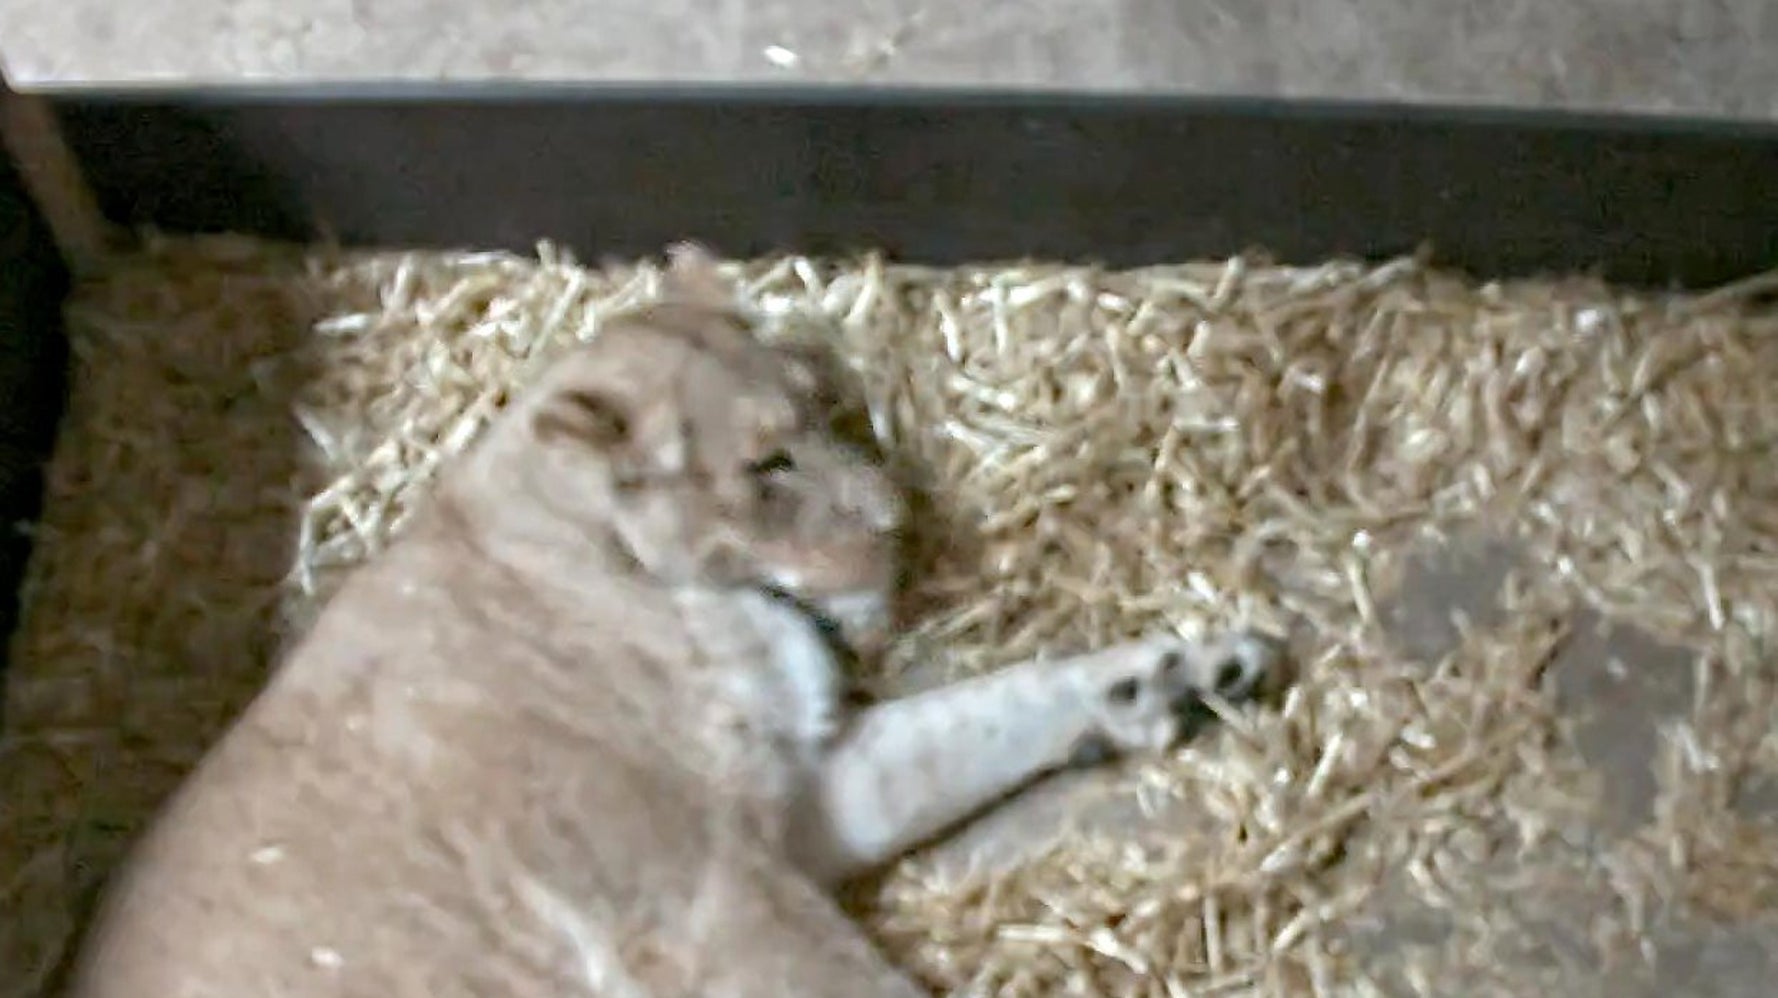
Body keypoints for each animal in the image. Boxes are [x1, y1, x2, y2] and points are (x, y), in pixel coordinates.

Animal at [65, 247, 1282, 998]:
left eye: (829, 407)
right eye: (766, 466)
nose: (900, 525)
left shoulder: (806, 791)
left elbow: (986, 713)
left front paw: (1187, 670)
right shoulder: (696, 885)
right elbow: (851, 978)